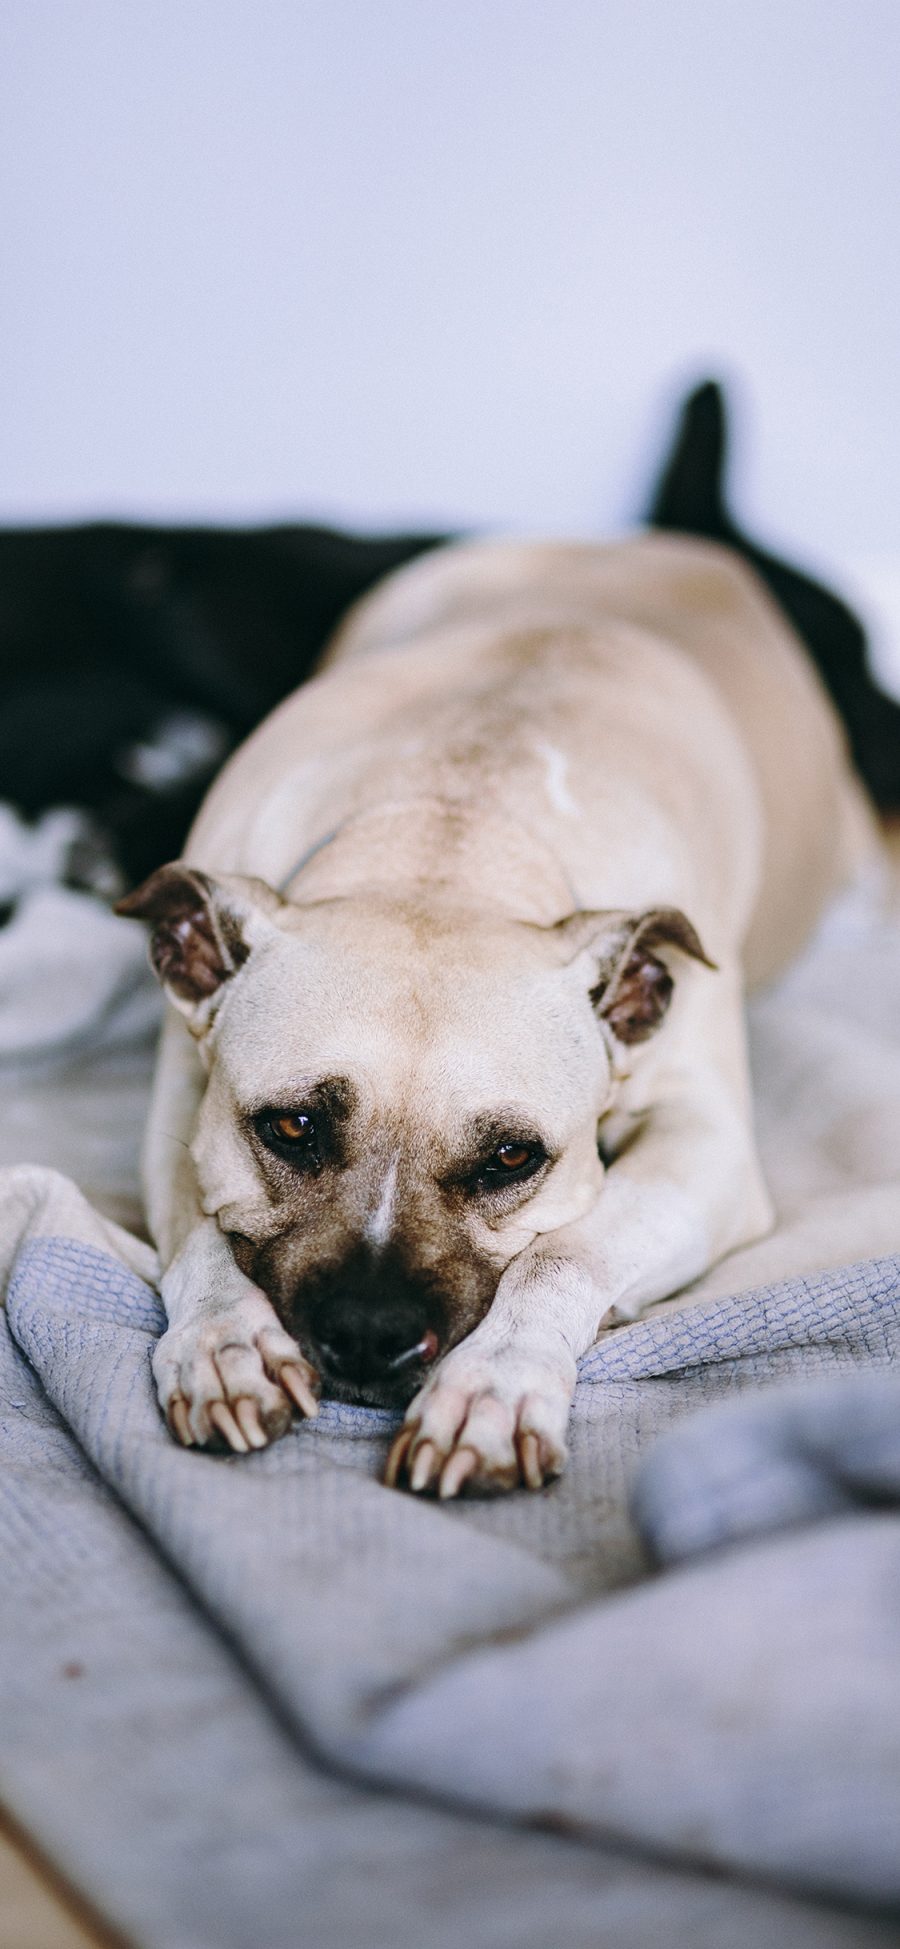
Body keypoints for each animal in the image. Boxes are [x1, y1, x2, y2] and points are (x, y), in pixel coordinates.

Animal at [119, 541, 872, 1496]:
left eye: (512, 1157)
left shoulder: (708, 1143)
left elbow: (565, 1251)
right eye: (291, 1128)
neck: (449, 837)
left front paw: (496, 1385)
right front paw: (225, 1340)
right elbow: (197, 1226)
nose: (368, 1331)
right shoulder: (179, 1101)